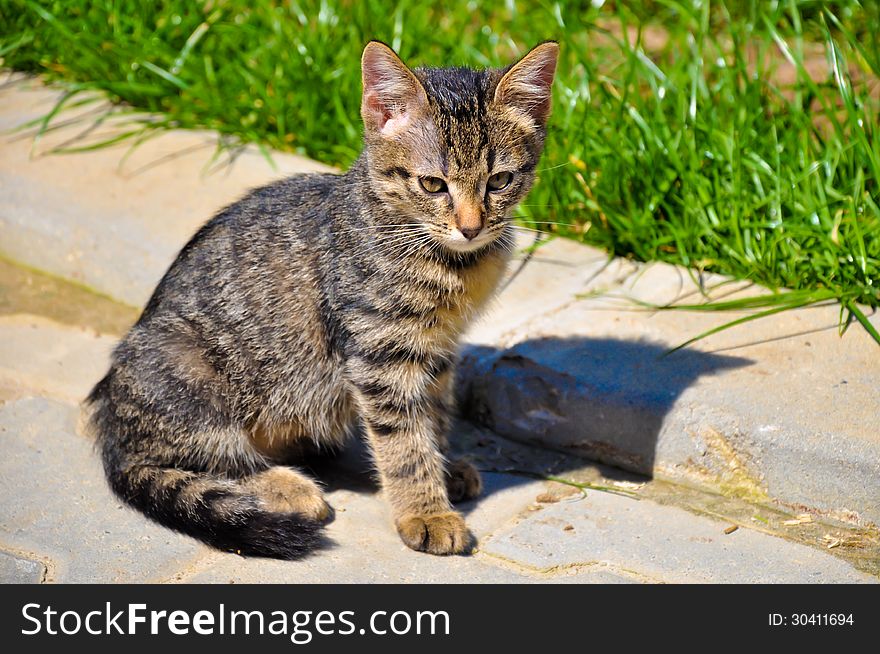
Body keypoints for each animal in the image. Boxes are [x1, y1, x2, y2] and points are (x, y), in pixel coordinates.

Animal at [86, 39, 560, 560]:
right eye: (433, 184)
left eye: (499, 181)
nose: (471, 227)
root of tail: (112, 421)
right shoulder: (379, 351)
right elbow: (402, 441)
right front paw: (426, 511)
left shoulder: (439, 348)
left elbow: (432, 415)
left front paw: (442, 467)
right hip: (187, 369)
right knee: (197, 456)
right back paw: (286, 487)